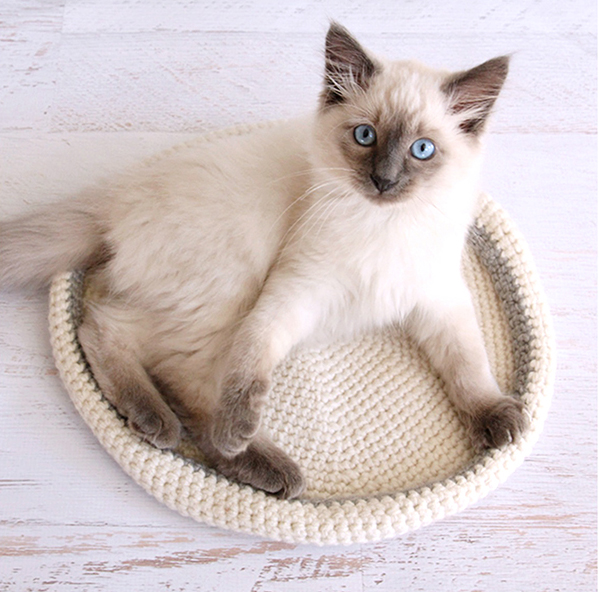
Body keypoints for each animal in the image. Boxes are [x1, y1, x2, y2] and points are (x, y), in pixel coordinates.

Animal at [0, 23, 524, 498]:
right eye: (364, 136)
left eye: (422, 150)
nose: (384, 181)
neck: (383, 225)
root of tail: (116, 197)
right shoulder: (292, 292)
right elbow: (251, 360)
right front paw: (238, 425)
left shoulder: (438, 300)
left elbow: (469, 364)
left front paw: (498, 418)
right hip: (227, 288)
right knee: (136, 349)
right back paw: (244, 453)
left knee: (119, 336)